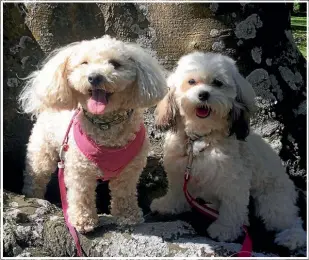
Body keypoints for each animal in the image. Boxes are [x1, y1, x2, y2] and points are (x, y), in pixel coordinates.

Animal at [19, 35, 166, 233]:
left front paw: (128, 216)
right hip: (42, 151)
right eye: (84, 63)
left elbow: (124, 193)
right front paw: (83, 221)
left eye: (115, 64)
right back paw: (34, 197)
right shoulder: (79, 170)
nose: (95, 77)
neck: (106, 125)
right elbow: (81, 196)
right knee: (35, 176)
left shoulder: (129, 171)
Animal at [150, 51, 306, 251]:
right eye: (191, 81)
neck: (200, 138)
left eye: (217, 83)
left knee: (289, 219)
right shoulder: (179, 171)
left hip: (273, 202)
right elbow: (176, 192)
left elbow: (232, 208)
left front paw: (225, 229)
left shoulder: (234, 181)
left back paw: (292, 237)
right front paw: (168, 205)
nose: (203, 94)